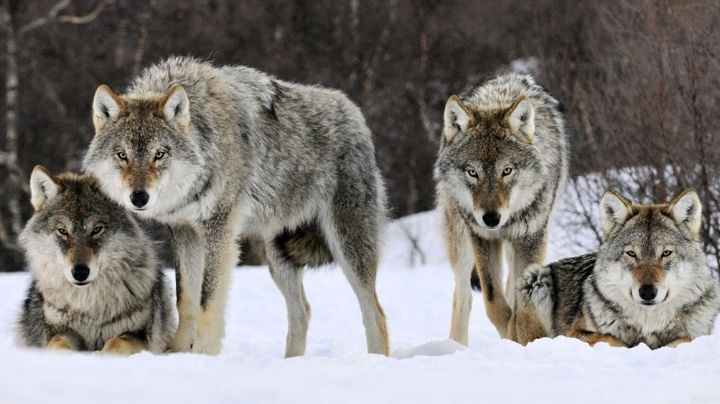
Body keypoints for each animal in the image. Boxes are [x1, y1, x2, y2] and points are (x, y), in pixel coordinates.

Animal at [16, 167, 175, 354]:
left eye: (97, 229)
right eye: (62, 231)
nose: (80, 272)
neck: (89, 306)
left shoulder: (140, 335)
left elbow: (117, 343)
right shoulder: (59, 330)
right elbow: (58, 344)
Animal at [83, 57, 389, 356]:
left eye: (159, 154)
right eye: (122, 155)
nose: (139, 198)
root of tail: (354, 112)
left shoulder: (219, 231)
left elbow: (207, 301)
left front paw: (203, 355)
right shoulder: (184, 232)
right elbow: (186, 299)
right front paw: (179, 352)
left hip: (347, 246)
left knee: (375, 312)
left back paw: (375, 359)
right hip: (278, 257)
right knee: (303, 311)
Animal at [434, 73, 569, 345]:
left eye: (506, 171)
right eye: (472, 172)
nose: (491, 218)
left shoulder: (531, 238)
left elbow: (519, 300)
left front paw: (519, 336)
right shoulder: (482, 238)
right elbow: (493, 300)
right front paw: (510, 333)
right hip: (460, 240)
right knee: (463, 296)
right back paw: (456, 346)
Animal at [520, 189, 720, 348]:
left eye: (666, 253)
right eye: (631, 253)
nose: (647, 292)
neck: (648, 324)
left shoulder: (695, 335)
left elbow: (685, 339)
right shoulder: (574, 333)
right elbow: (610, 337)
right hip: (535, 277)